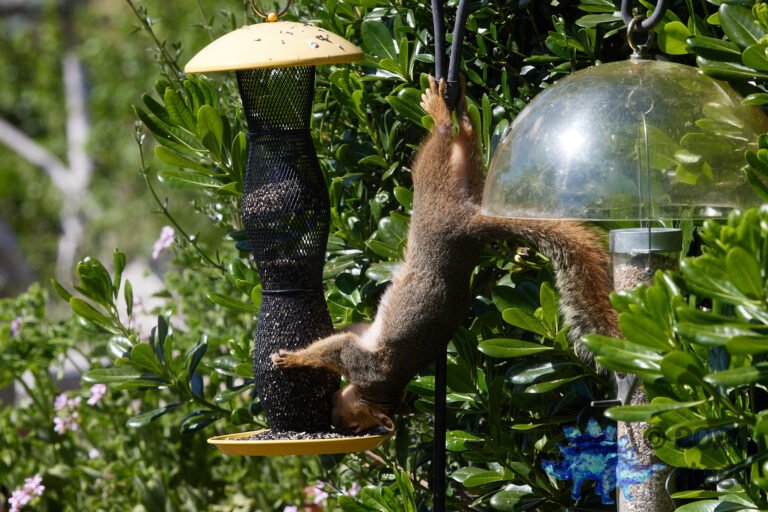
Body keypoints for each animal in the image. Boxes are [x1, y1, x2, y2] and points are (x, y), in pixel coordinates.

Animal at [271, 76, 619, 433]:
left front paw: (293, 358)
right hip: (455, 178)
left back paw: (440, 112)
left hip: (432, 189)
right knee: (461, 142)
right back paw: (459, 113)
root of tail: (468, 220)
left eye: (356, 427)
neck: (380, 388)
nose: (335, 423)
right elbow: (347, 333)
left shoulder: (364, 365)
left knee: (441, 141)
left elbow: (335, 349)